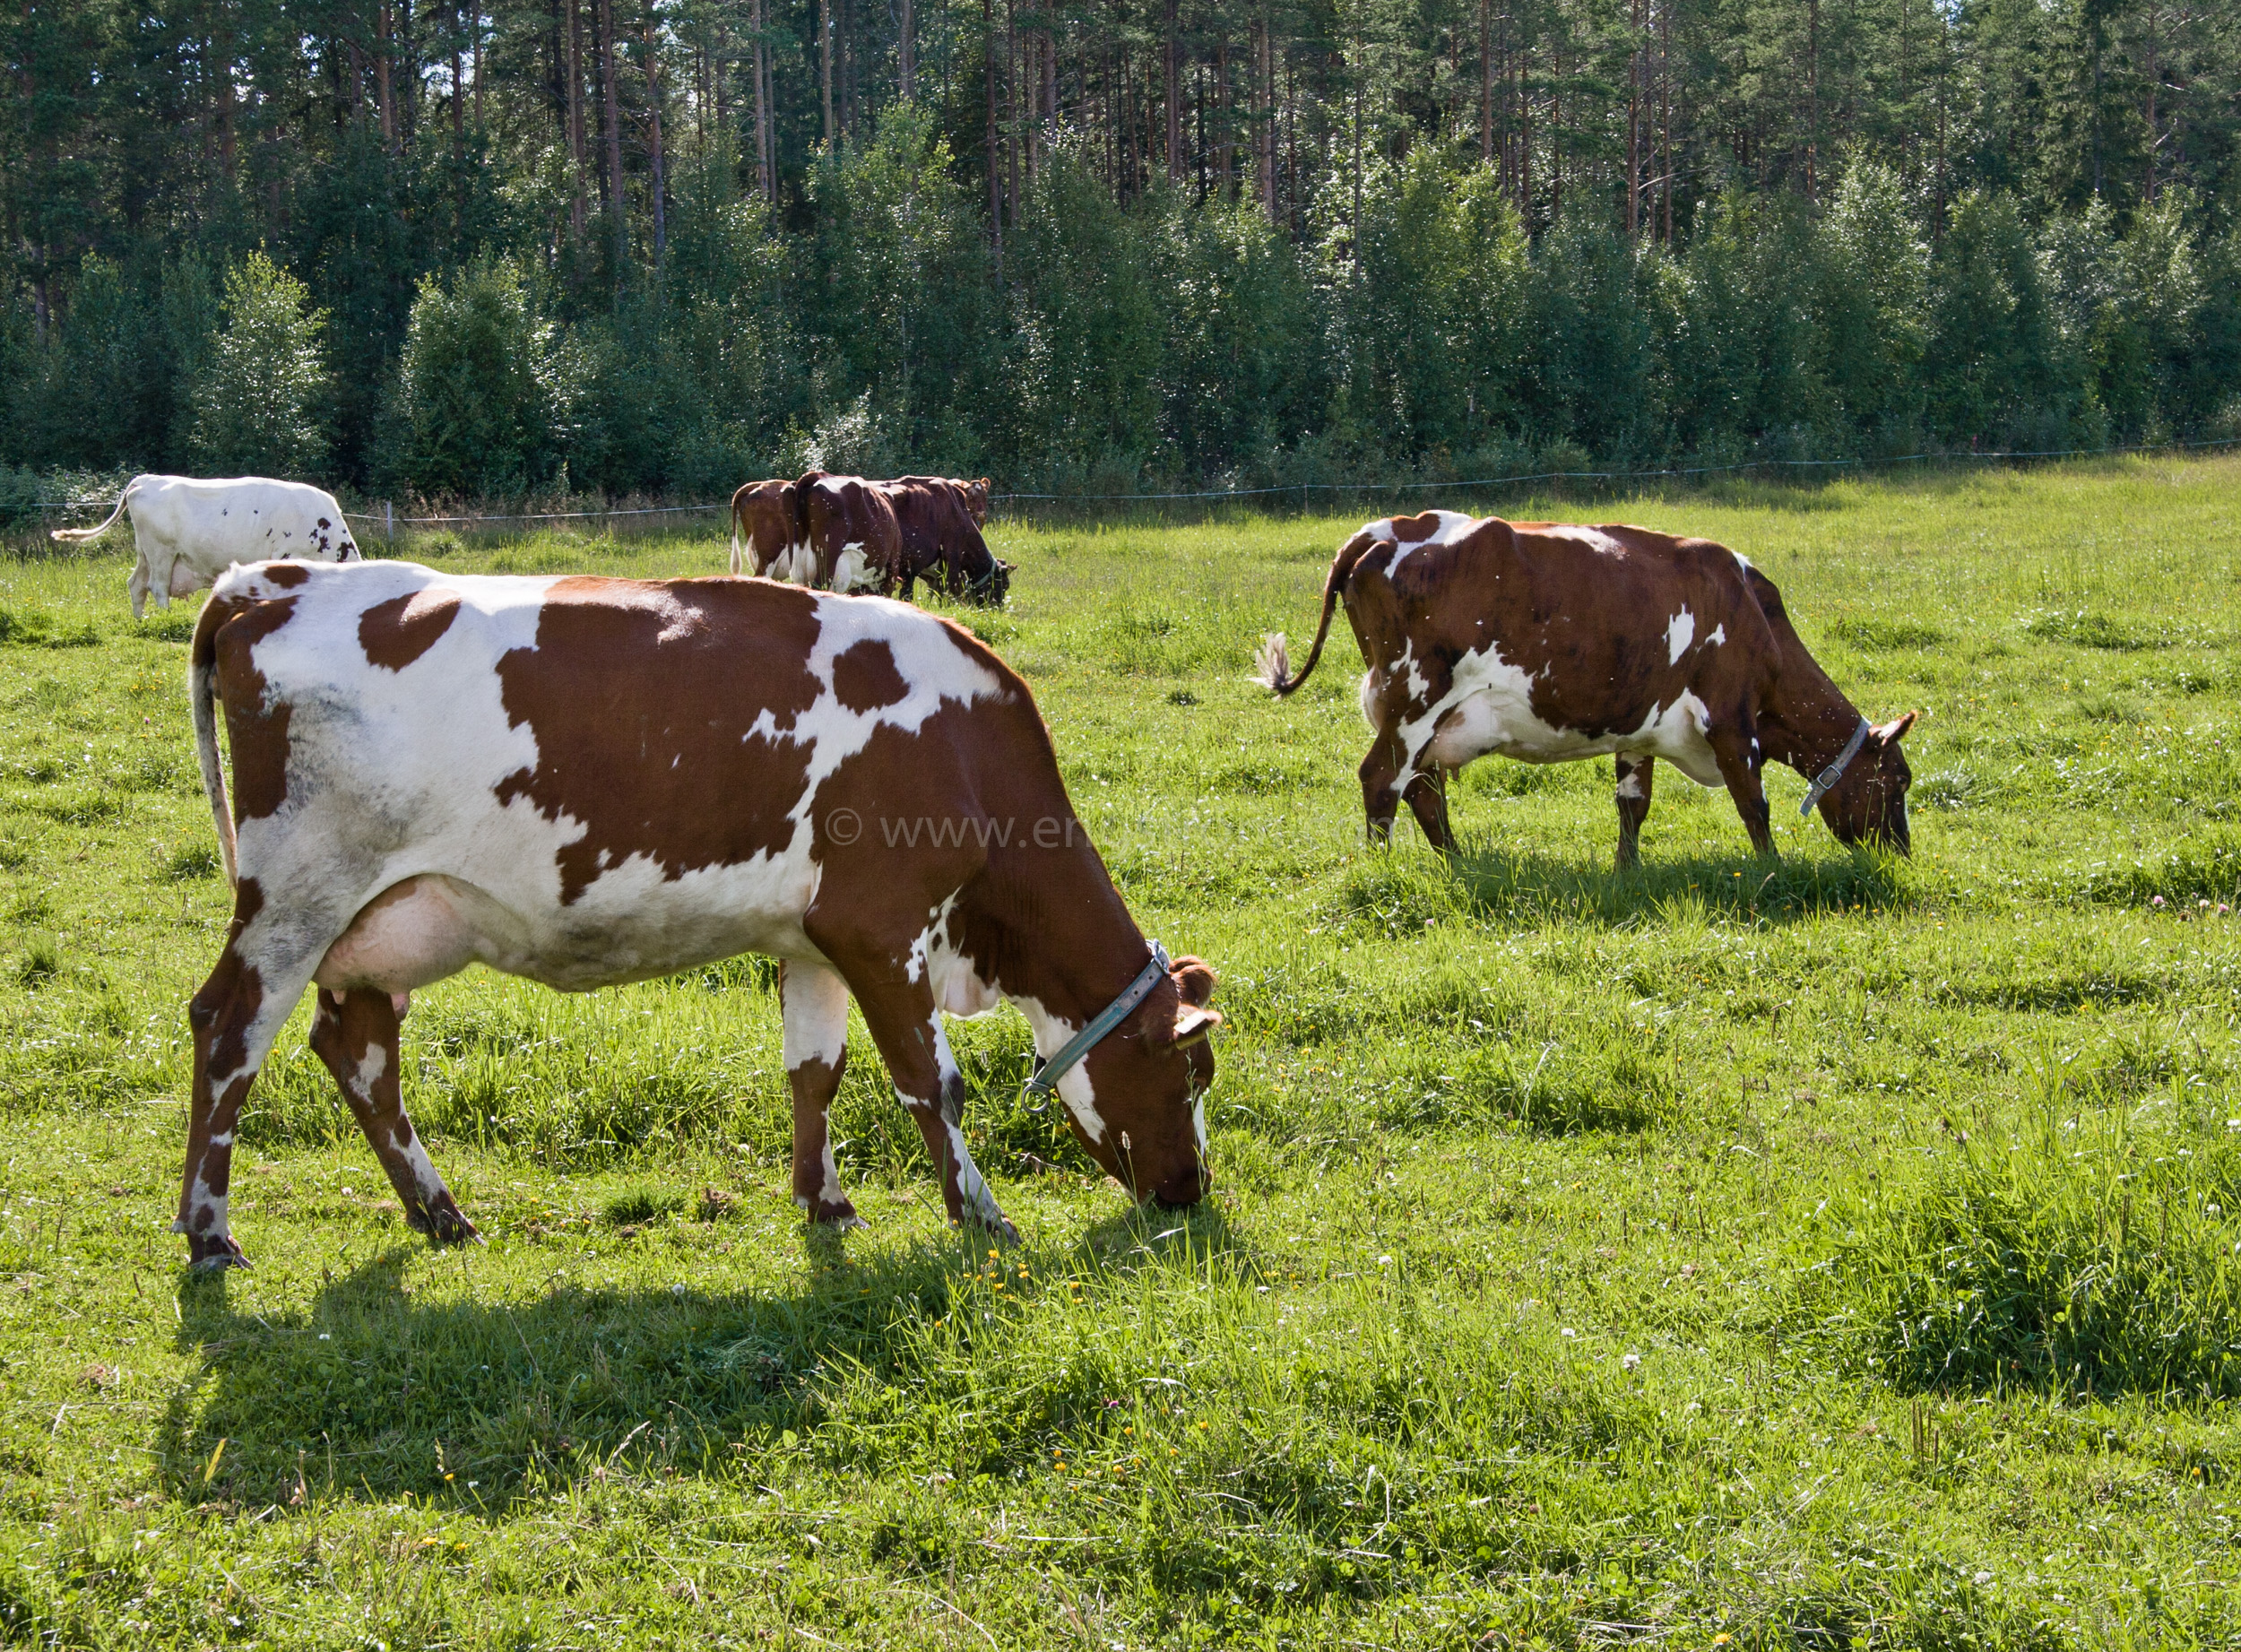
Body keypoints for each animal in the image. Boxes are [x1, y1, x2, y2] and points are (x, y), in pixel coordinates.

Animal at [52, 477, 363, 618]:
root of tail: (148, 479)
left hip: (145, 553)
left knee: (135, 584)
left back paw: (140, 621)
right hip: (162, 552)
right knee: (157, 587)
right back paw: (165, 620)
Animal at [179, 560, 1228, 1273]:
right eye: (1188, 1070)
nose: (1191, 1189)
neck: (971, 753)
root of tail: (275, 581)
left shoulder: (816, 938)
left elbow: (816, 1072)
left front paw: (826, 1202)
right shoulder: (881, 926)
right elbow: (932, 1083)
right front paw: (979, 1212)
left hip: (375, 927)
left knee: (358, 1054)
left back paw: (440, 1213)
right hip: (296, 898)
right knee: (230, 1031)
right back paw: (209, 1232)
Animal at [1255, 508, 1918, 865]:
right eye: (1900, 781)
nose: (1904, 853)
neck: (1756, 615)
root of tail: (1382, 530)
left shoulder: (1641, 728)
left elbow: (1633, 805)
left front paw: (1628, 870)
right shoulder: (1731, 718)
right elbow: (1753, 803)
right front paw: (1773, 867)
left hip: (1426, 716)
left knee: (1422, 790)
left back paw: (1459, 861)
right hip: (1413, 699)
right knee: (1382, 781)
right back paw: (1383, 868)